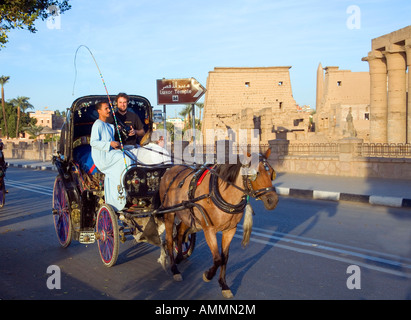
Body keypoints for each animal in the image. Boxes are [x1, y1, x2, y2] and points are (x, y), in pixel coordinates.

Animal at [159, 149, 278, 298]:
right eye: (255, 173)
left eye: (272, 173)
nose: (273, 200)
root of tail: (170, 170)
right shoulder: (209, 230)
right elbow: (217, 258)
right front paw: (208, 275)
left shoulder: (230, 230)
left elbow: (224, 257)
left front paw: (224, 285)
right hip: (169, 214)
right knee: (169, 240)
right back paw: (174, 269)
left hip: (186, 213)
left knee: (180, 234)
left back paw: (180, 257)